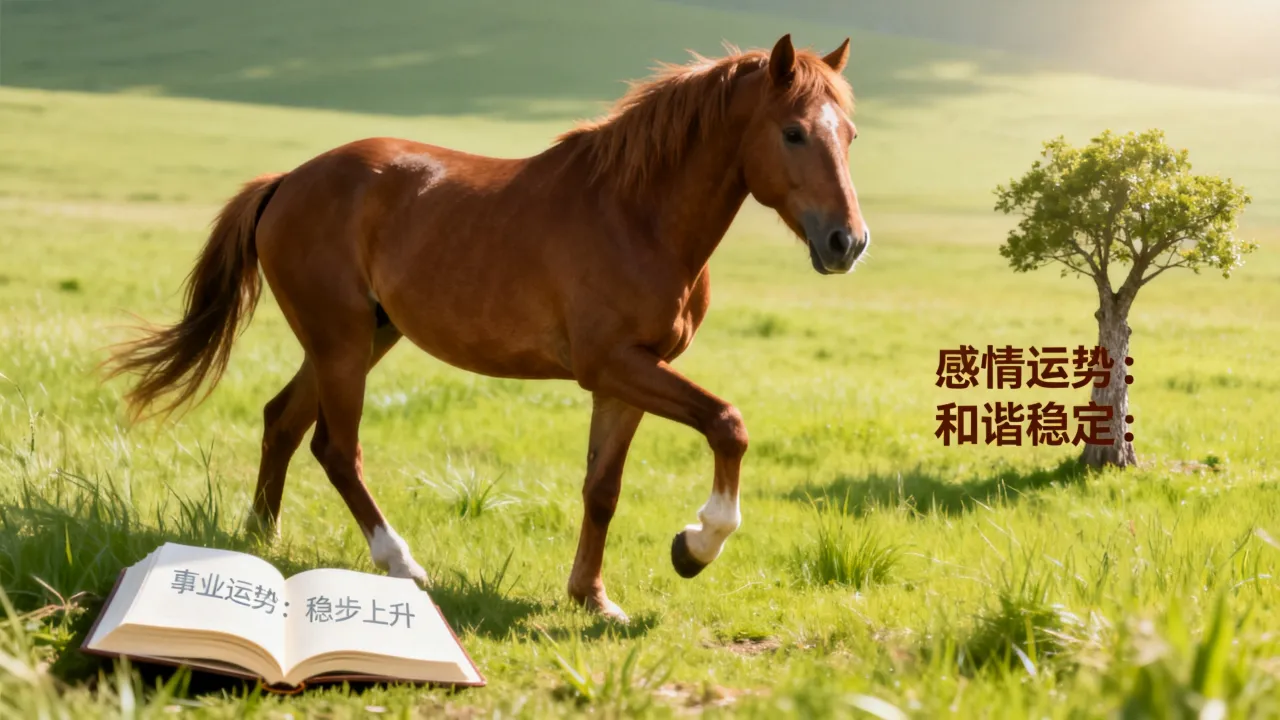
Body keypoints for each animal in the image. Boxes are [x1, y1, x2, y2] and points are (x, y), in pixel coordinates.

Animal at [106, 34, 870, 622]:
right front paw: (697, 546)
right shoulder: (614, 364)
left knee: (282, 421)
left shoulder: (629, 378)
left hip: (361, 337)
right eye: (794, 132)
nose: (848, 243)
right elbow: (728, 423)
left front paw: (593, 598)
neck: (636, 215)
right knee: (335, 447)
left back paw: (259, 544)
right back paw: (401, 565)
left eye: (852, 134)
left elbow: (603, 490)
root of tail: (287, 181)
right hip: (341, 342)